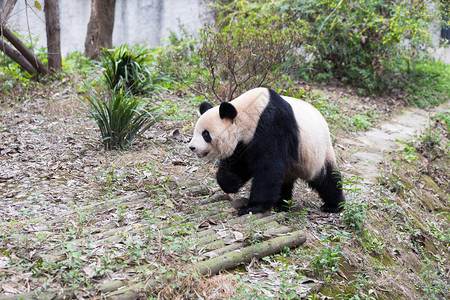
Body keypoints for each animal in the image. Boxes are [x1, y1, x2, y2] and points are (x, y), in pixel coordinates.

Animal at [186, 86, 344, 216]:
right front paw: (233, 183)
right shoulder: (244, 143)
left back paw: (334, 205)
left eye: (205, 134)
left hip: (316, 152)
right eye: (196, 131)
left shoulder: (273, 126)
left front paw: (252, 207)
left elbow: (268, 168)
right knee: (284, 181)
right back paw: (281, 205)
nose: (192, 147)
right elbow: (237, 164)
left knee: (326, 178)